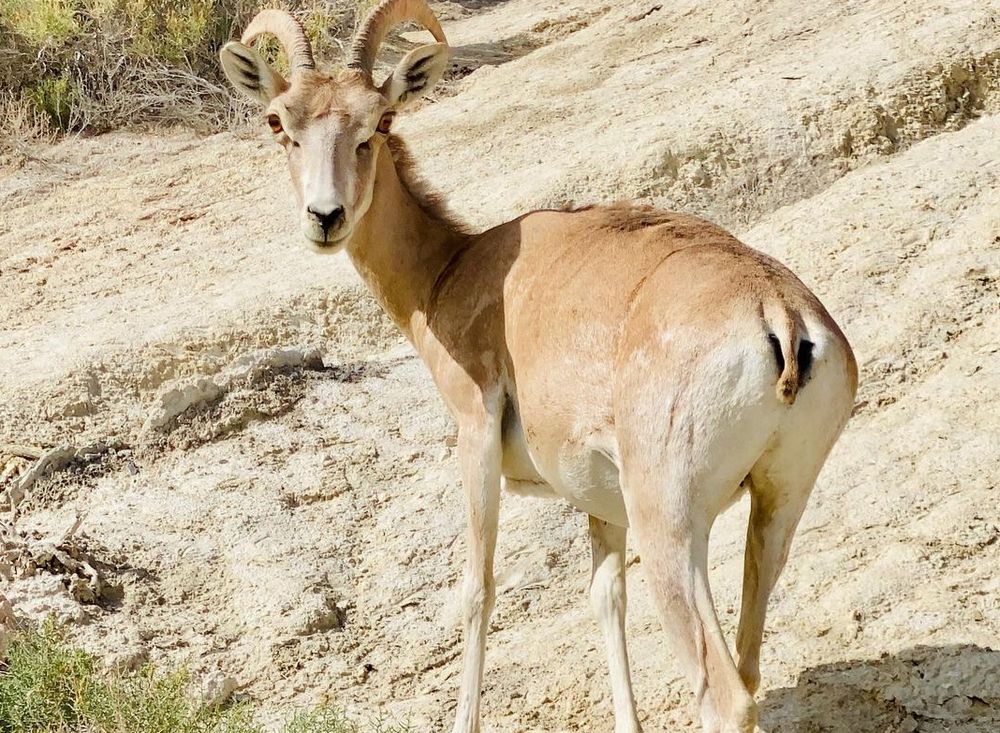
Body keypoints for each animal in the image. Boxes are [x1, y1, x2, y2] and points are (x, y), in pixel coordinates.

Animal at [219, 3, 858, 732]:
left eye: (377, 122)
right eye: (281, 122)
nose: (325, 217)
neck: (452, 270)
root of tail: (779, 314)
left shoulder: (475, 434)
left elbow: (477, 588)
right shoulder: (603, 505)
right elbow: (606, 597)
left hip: (671, 522)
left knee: (725, 692)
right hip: (778, 505)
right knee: (750, 656)